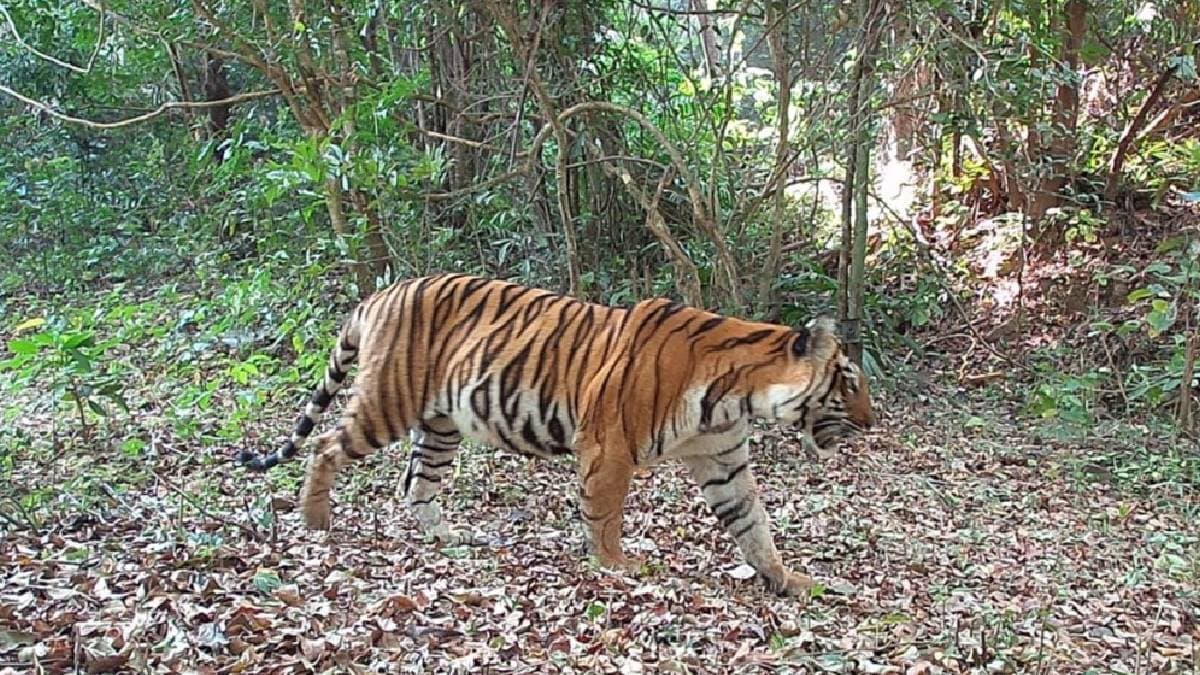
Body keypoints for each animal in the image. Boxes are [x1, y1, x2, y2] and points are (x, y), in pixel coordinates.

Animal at [236, 273, 874, 596]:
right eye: (848, 382)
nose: (873, 424)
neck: (737, 395)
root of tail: (377, 295)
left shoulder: (723, 461)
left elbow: (754, 526)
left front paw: (790, 579)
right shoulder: (608, 446)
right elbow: (605, 513)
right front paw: (616, 565)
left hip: (439, 426)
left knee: (415, 486)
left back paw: (446, 537)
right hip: (388, 401)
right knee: (326, 447)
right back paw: (315, 521)